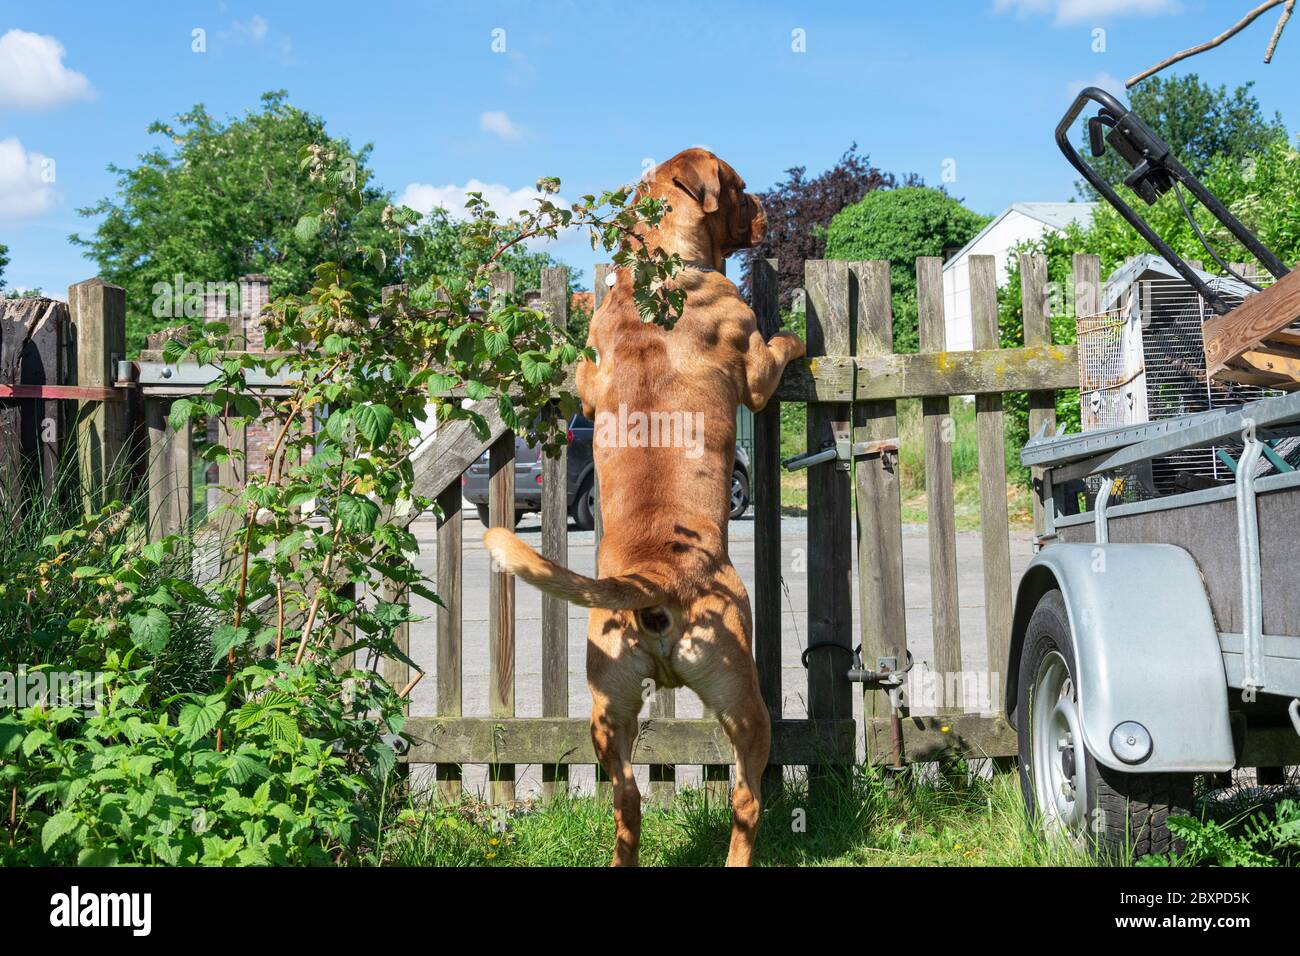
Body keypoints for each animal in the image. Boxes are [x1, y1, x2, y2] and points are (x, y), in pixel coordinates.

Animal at [483, 147, 800, 868]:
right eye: (740, 187)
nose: (765, 208)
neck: (661, 261)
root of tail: (652, 582)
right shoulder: (756, 367)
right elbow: (778, 349)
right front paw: (798, 331)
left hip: (608, 706)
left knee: (626, 799)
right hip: (745, 698)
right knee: (745, 797)